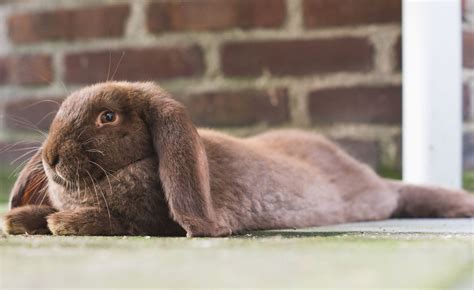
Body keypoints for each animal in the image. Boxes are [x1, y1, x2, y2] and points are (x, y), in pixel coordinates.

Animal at [2, 80, 474, 237]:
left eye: (108, 116)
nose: (50, 157)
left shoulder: (155, 220)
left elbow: (121, 222)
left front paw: (62, 223)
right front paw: (18, 219)